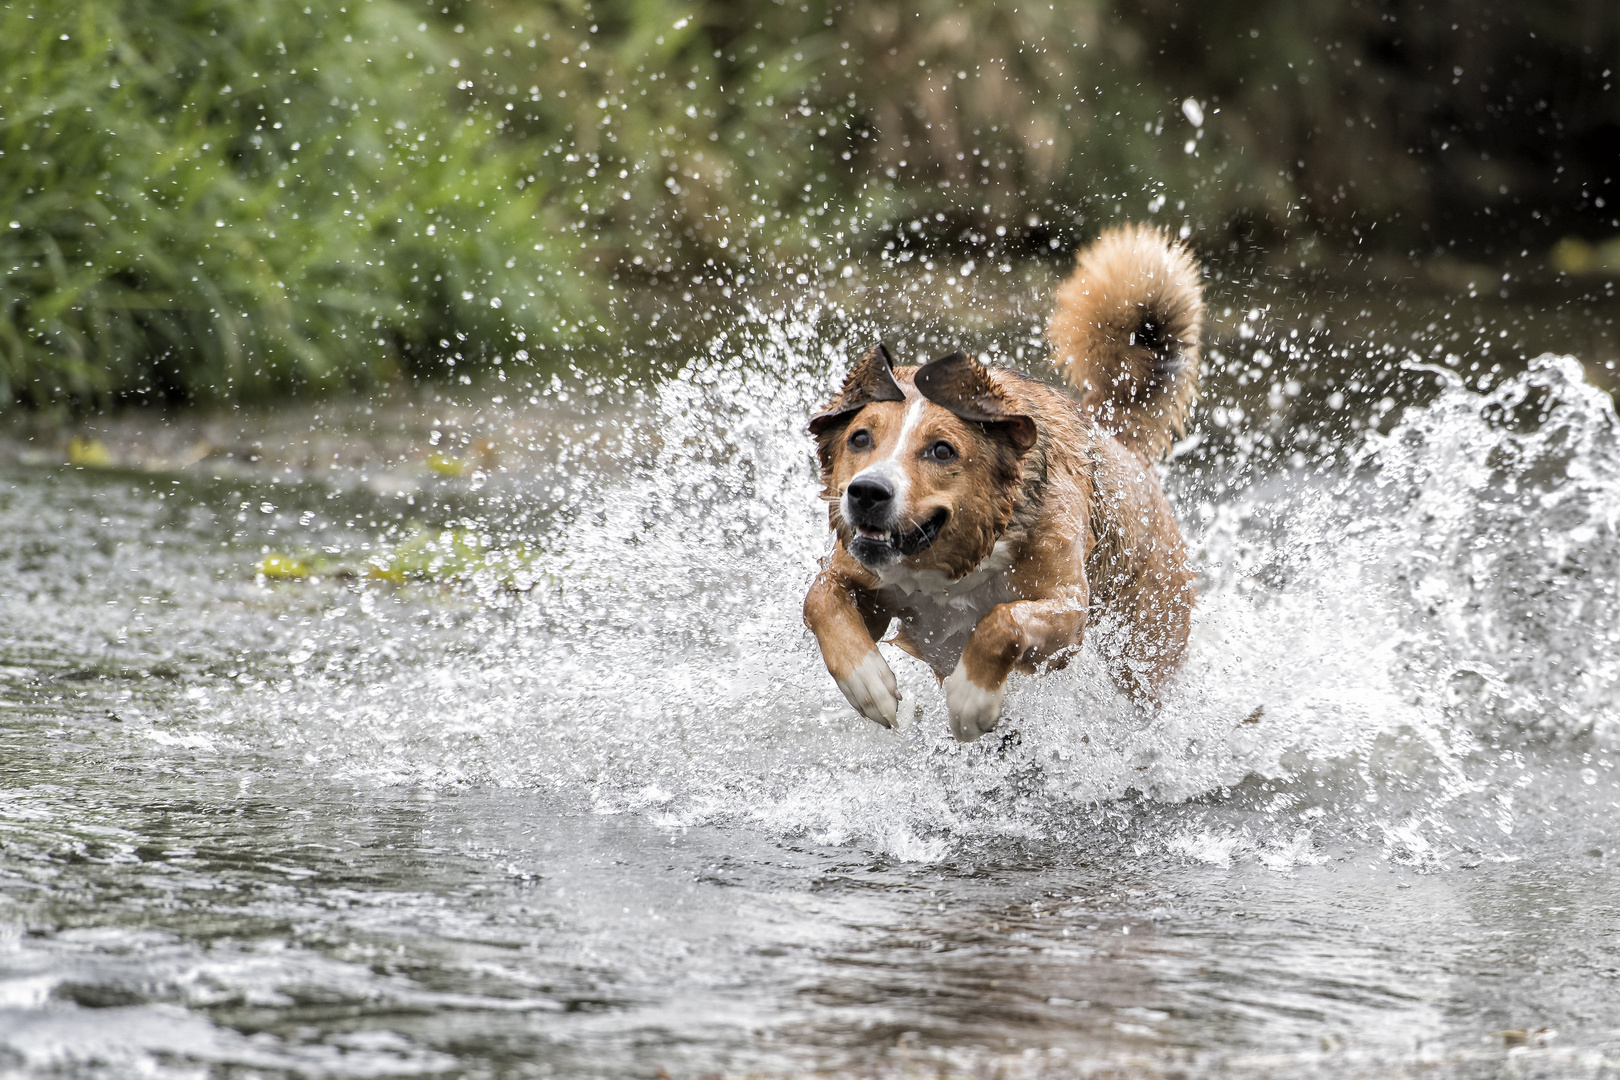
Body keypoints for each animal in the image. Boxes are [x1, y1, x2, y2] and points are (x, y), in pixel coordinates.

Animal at [800, 223, 1198, 738]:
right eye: (860, 437)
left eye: (942, 450)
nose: (866, 493)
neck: (956, 567)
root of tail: (1113, 434)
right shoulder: (859, 577)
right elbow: (819, 598)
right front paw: (868, 684)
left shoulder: (1068, 610)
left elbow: (1002, 621)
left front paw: (972, 698)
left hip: (1145, 650)